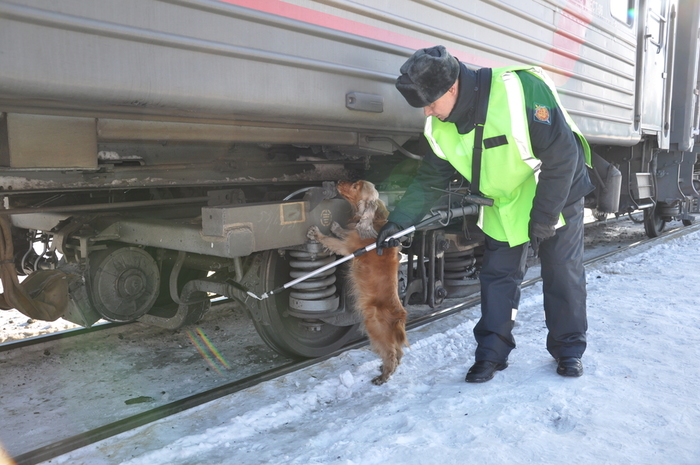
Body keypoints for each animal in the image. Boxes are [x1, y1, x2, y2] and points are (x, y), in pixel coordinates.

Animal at [308, 179, 410, 382]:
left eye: (356, 186)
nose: (339, 181)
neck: (374, 220)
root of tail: (399, 317)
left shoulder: (346, 247)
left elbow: (330, 240)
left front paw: (317, 234)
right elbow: (342, 232)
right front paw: (336, 227)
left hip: (374, 327)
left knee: (391, 353)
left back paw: (383, 376)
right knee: (398, 352)